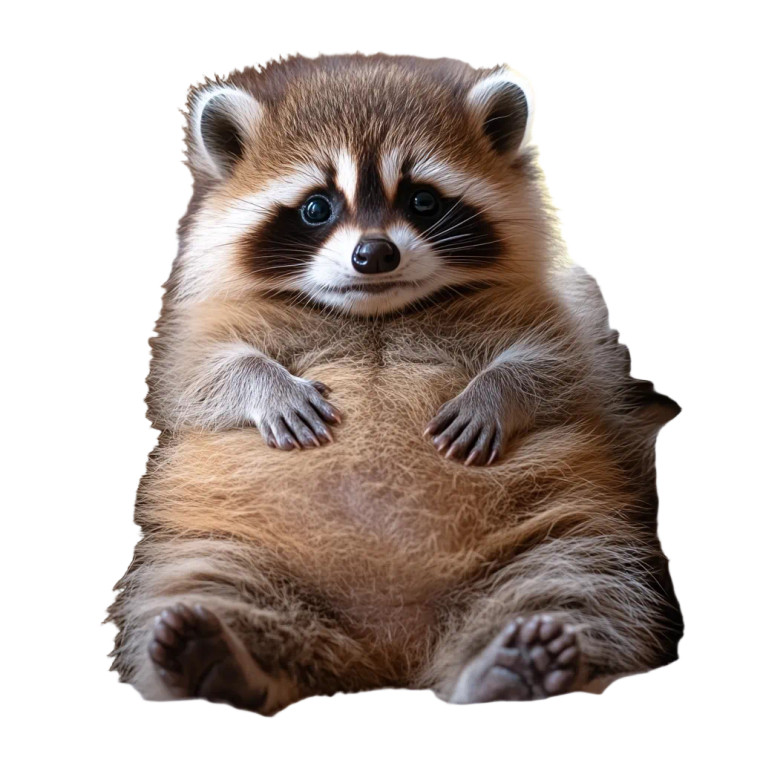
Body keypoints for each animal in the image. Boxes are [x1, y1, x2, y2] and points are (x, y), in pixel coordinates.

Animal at [108, 54, 682, 714]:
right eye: (317, 207)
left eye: (423, 200)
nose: (374, 254)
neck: (377, 312)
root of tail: (388, 655)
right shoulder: (190, 330)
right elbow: (196, 378)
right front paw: (265, 386)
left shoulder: (564, 317)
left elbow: (559, 369)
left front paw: (495, 393)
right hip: (227, 541)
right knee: (201, 581)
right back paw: (219, 662)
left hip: (563, 532)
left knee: (581, 584)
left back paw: (509, 669)